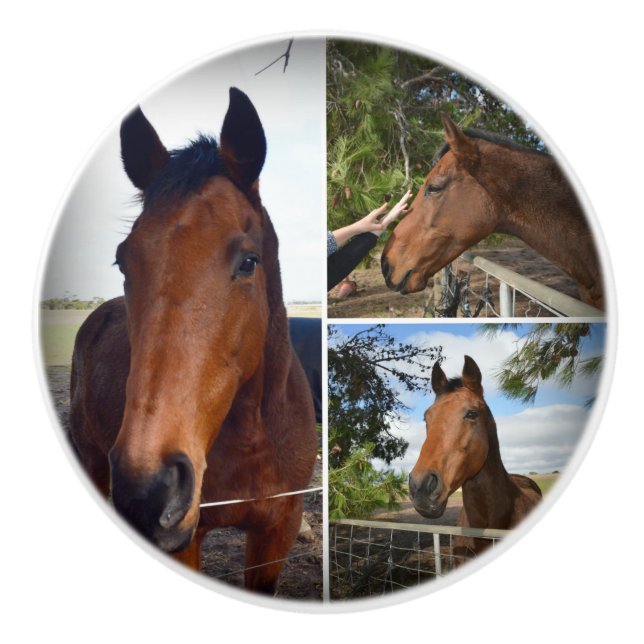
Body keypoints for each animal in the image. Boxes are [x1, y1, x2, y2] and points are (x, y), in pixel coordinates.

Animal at [69, 87, 318, 595]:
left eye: (248, 261)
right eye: (123, 261)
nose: (149, 492)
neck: (252, 439)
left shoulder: (278, 529)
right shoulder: (187, 539)